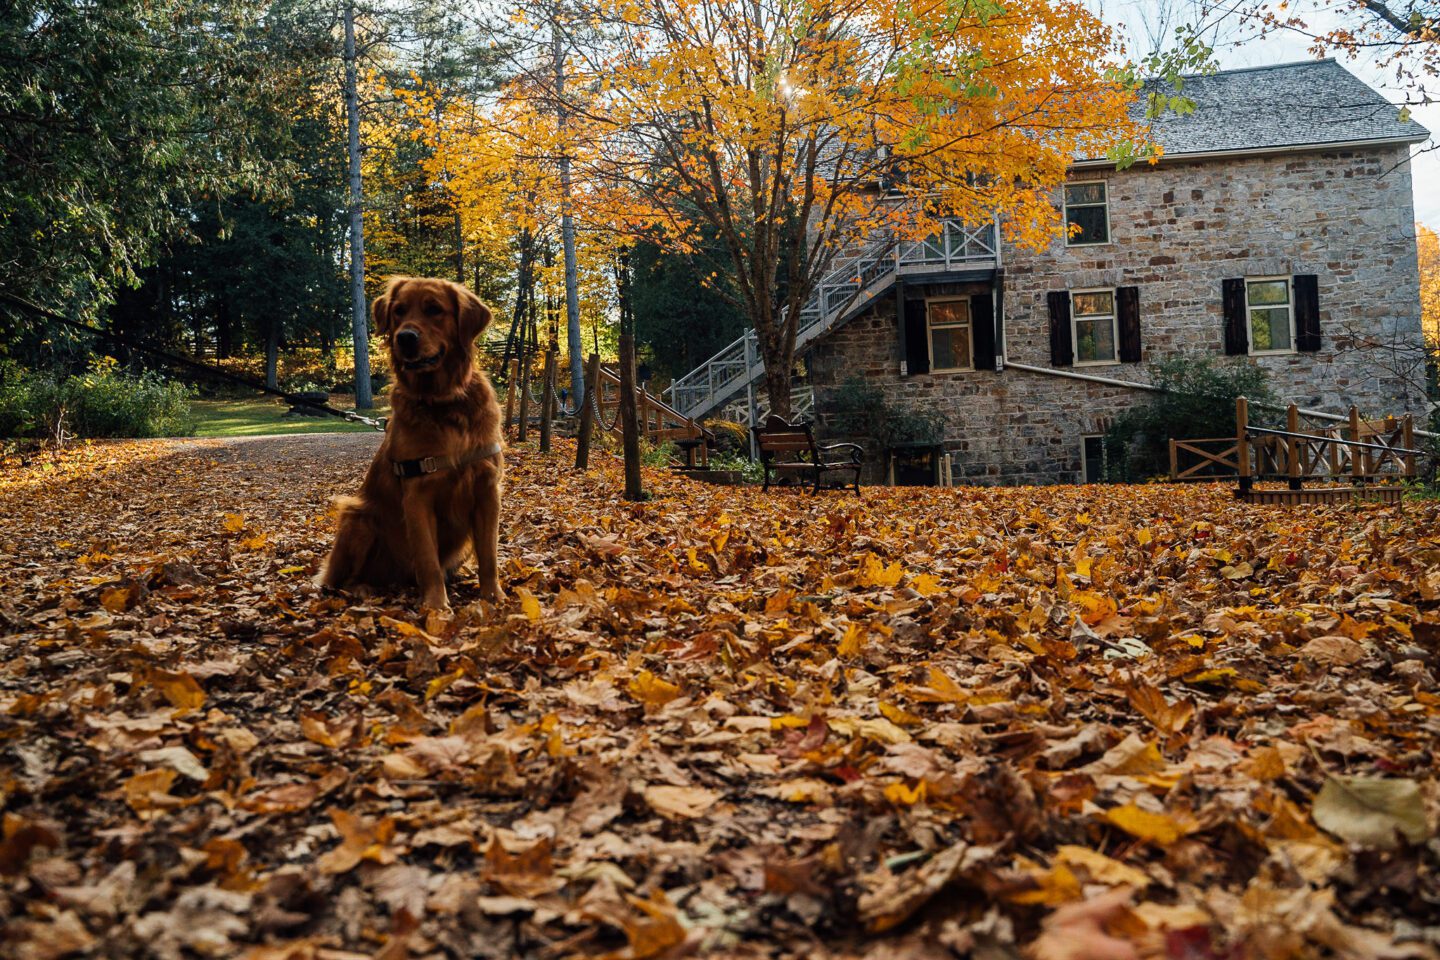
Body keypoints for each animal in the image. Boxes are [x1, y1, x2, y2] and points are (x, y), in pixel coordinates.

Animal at [321, 273, 506, 613]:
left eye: (434, 310)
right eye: (399, 311)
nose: (404, 338)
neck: (442, 402)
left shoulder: (487, 491)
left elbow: (489, 554)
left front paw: (493, 596)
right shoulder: (418, 494)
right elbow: (427, 559)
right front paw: (436, 606)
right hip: (358, 518)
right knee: (344, 580)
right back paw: (363, 589)